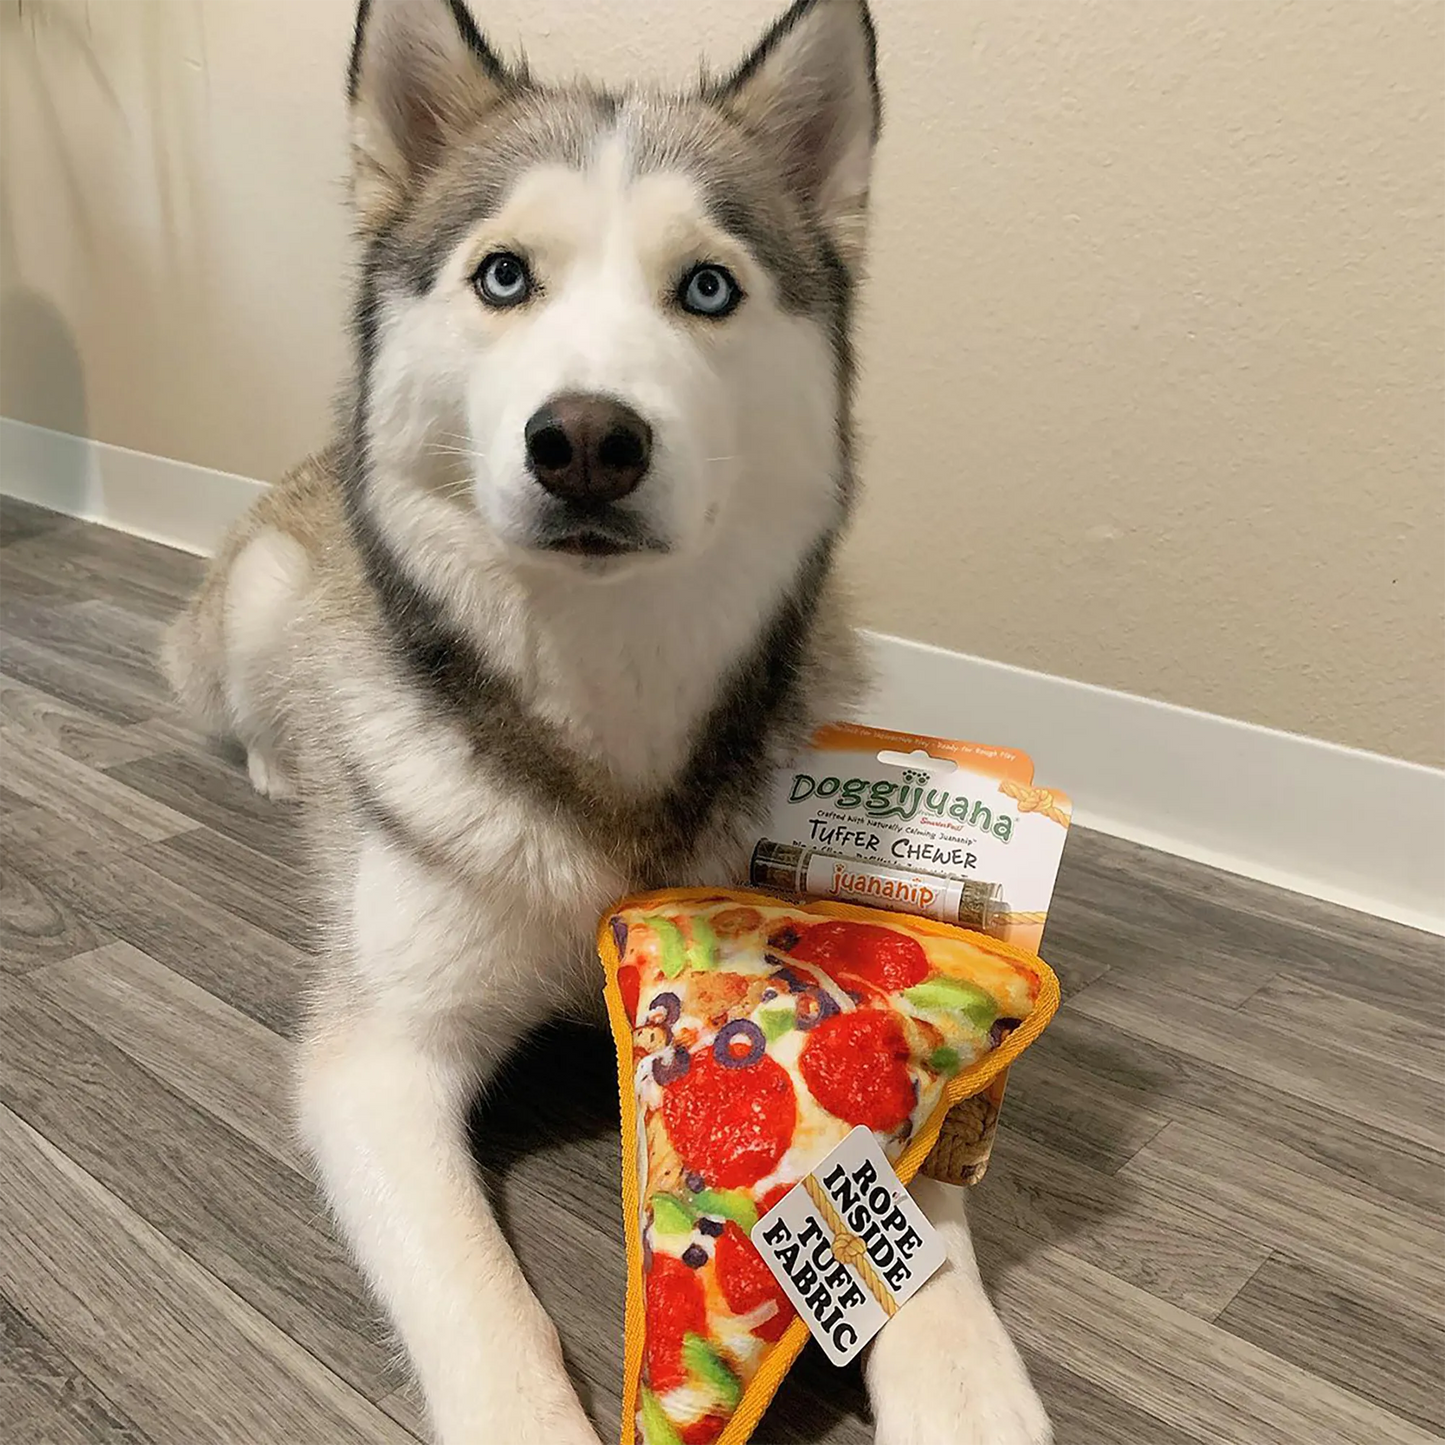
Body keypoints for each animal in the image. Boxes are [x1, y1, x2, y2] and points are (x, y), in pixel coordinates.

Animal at [164, 2, 1051, 1445]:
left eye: (708, 289)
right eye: (503, 276)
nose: (585, 438)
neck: (604, 694)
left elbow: (925, 1180)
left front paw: (961, 1376)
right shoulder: (379, 1057)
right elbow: (483, 1306)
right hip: (259, 603)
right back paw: (283, 768)